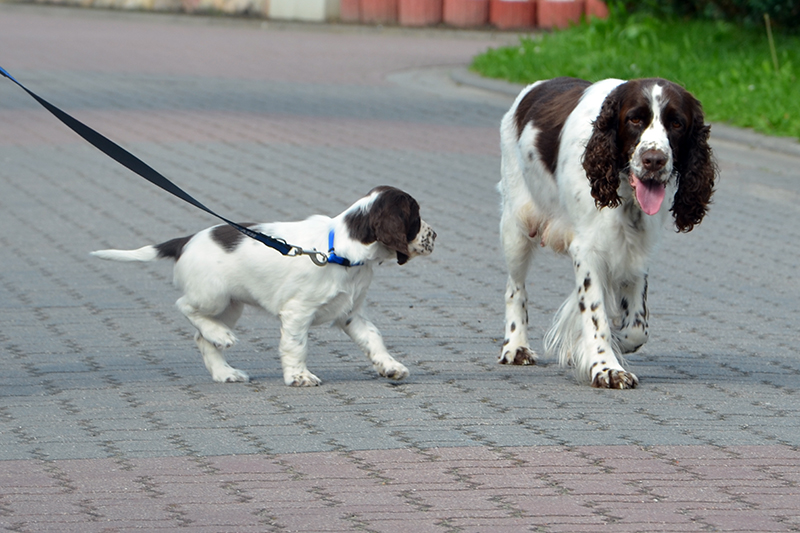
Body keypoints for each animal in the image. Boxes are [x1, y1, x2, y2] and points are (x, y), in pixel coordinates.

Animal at [94, 187, 438, 386]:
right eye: (416, 216)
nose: (435, 235)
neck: (341, 249)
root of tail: (185, 241)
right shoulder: (298, 311)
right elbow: (296, 345)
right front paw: (299, 376)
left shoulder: (349, 312)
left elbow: (373, 338)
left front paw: (390, 367)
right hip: (213, 295)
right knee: (185, 307)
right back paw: (221, 336)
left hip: (231, 305)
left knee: (201, 337)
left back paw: (224, 371)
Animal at [500, 77, 720, 388]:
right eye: (634, 119)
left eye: (677, 123)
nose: (654, 160)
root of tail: (535, 85)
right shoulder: (587, 248)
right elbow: (595, 315)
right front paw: (606, 368)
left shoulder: (637, 250)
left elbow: (637, 328)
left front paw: (590, 347)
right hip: (517, 225)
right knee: (515, 287)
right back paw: (515, 347)